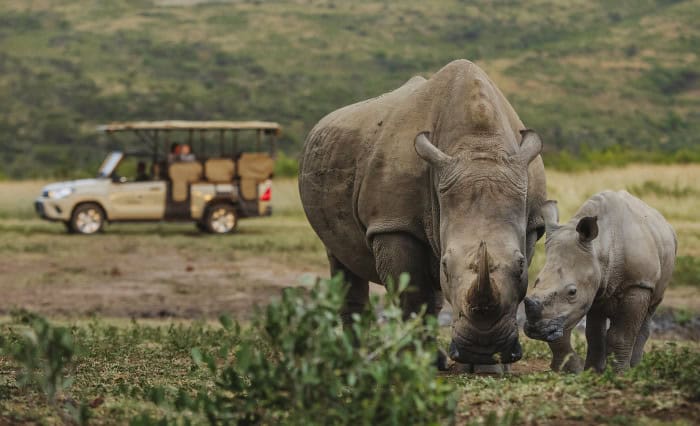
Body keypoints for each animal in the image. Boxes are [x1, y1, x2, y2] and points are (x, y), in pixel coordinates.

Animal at [299, 60, 547, 367]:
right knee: (339, 257)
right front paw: (414, 362)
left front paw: (484, 365)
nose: (484, 348)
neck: (479, 146)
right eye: (446, 266)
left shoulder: (531, 222)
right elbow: (412, 296)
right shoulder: (393, 223)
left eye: (522, 265)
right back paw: (353, 358)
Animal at [524, 191, 677, 373]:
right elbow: (593, 334)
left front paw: (619, 373)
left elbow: (622, 335)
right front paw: (593, 372)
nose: (535, 330)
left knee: (649, 312)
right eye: (536, 281)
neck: (601, 246)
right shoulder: (595, 288)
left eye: (572, 292)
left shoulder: (638, 284)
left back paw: (635, 367)